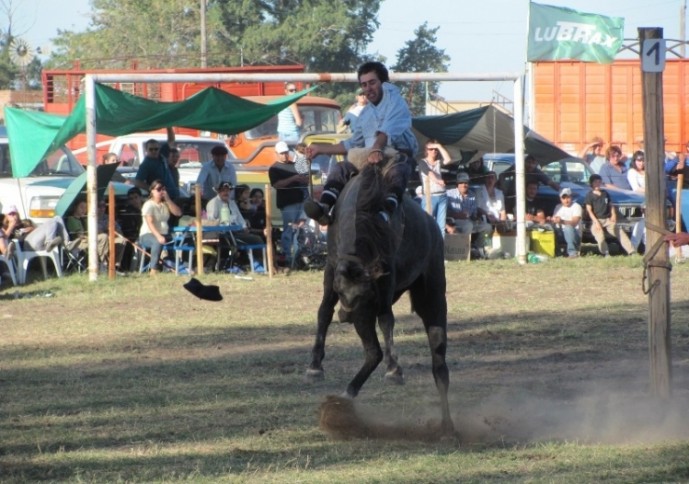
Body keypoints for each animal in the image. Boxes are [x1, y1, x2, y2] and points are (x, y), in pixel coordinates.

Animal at [304, 159, 454, 434]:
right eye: (341, 291)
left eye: (362, 292)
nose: (345, 315)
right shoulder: (332, 271)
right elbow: (323, 312)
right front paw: (314, 367)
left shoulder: (385, 279)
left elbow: (386, 319)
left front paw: (394, 371)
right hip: (366, 316)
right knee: (374, 351)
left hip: (431, 299)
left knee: (438, 367)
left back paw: (446, 424)